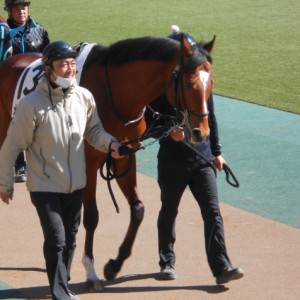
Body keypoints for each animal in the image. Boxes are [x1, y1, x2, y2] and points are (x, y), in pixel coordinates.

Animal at [0, 33, 216, 290]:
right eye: (188, 84)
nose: (201, 132)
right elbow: (91, 217)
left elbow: (138, 209)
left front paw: (114, 264)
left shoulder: (123, 155)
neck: (116, 94)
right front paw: (90, 271)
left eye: (211, 84)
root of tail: (11, 60)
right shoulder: (87, 163)